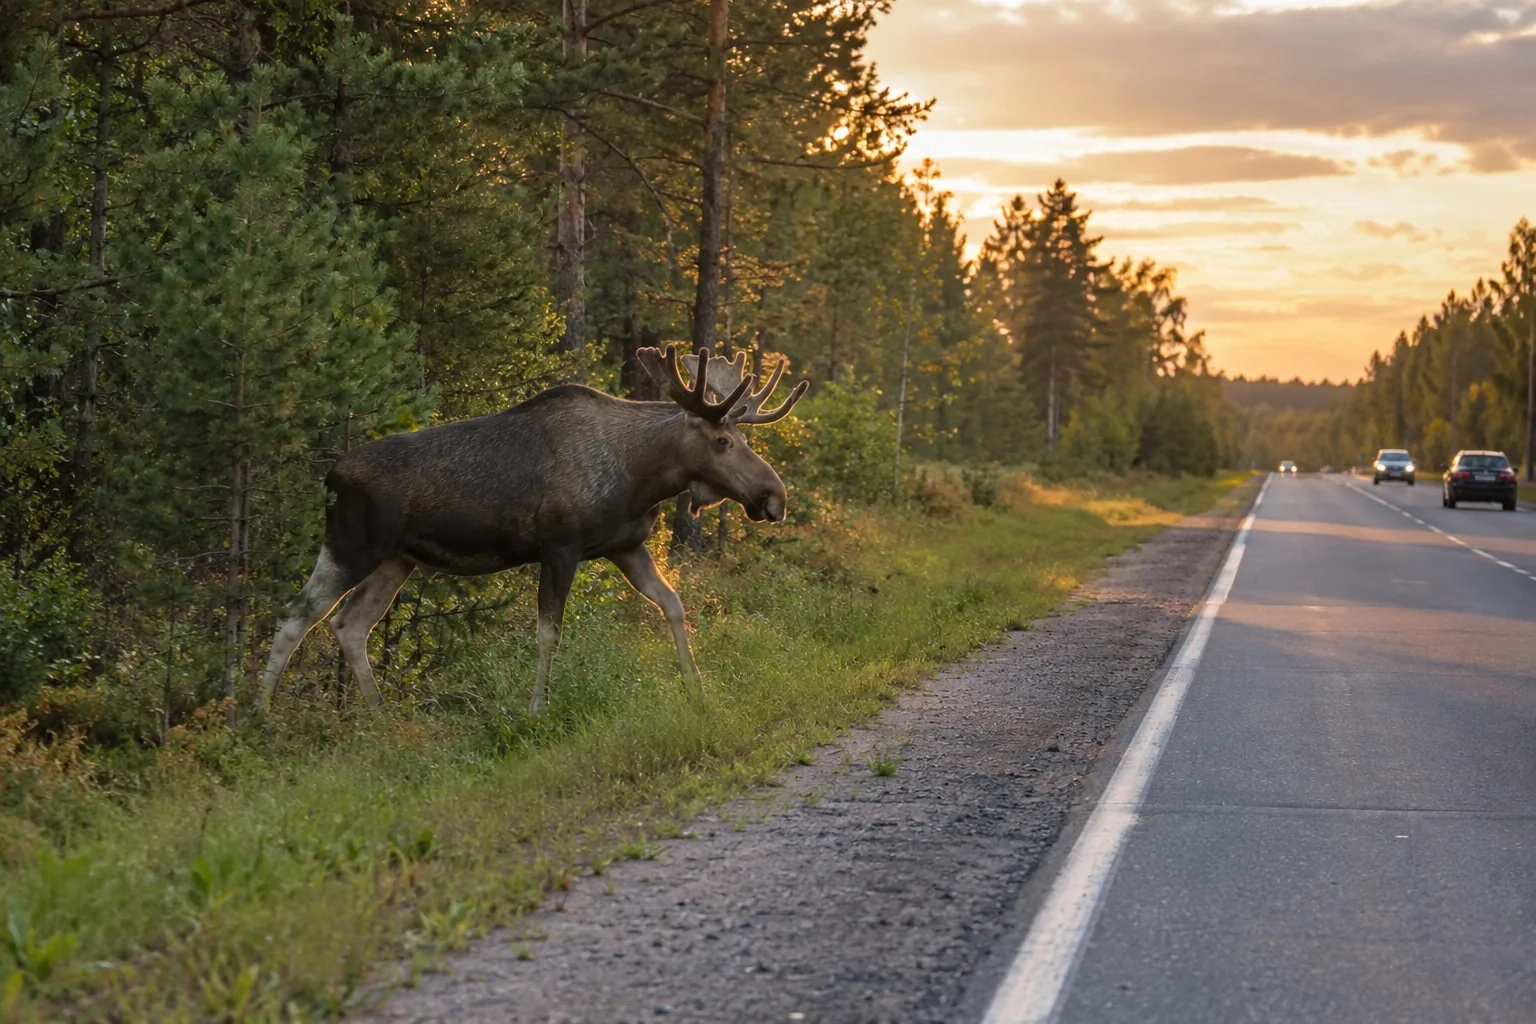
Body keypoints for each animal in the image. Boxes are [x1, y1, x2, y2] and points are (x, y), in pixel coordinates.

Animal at [255, 345, 809, 714]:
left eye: (740, 438)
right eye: (721, 441)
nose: (774, 497)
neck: (639, 476)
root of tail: (329, 476)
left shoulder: (626, 546)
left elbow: (673, 603)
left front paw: (697, 688)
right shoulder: (560, 547)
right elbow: (549, 634)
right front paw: (537, 707)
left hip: (396, 559)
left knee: (350, 624)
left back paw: (378, 715)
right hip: (352, 545)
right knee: (296, 615)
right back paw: (256, 715)